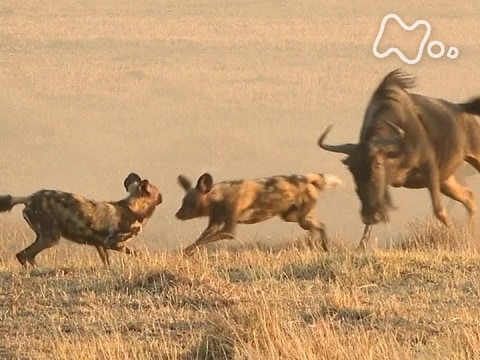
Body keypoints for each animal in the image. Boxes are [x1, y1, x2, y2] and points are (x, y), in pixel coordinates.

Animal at [0, 173, 163, 266]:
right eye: (158, 193)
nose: (162, 197)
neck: (133, 209)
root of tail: (28, 198)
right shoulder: (112, 242)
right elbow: (138, 253)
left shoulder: (100, 245)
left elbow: (107, 264)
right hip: (51, 238)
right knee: (24, 255)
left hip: (44, 237)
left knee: (24, 256)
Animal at [175, 172, 342, 255]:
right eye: (183, 201)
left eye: (191, 203)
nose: (177, 215)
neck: (218, 197)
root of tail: (308, 179)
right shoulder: (214, 223)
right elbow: (201, 239)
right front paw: (188, 251)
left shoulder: (228, 230)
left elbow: (205, 239)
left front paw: (186, 251)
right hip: (293, 217)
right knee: (319, 225)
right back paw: (322, 247)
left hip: (299, 217)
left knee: (317, 227)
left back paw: (317, 245)